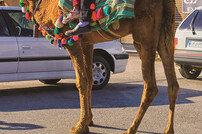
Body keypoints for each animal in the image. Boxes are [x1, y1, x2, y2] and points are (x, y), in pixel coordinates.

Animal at [20, 0, 179, 133]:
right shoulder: (87, 43)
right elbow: (90, 80)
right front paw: (88, 120)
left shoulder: (71, 42)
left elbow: (81, 81)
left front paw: (80, 126)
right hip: (166, 33)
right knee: (172, 84)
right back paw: (168, 130)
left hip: (144, 36)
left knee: (151, 86)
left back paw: (130, 129)